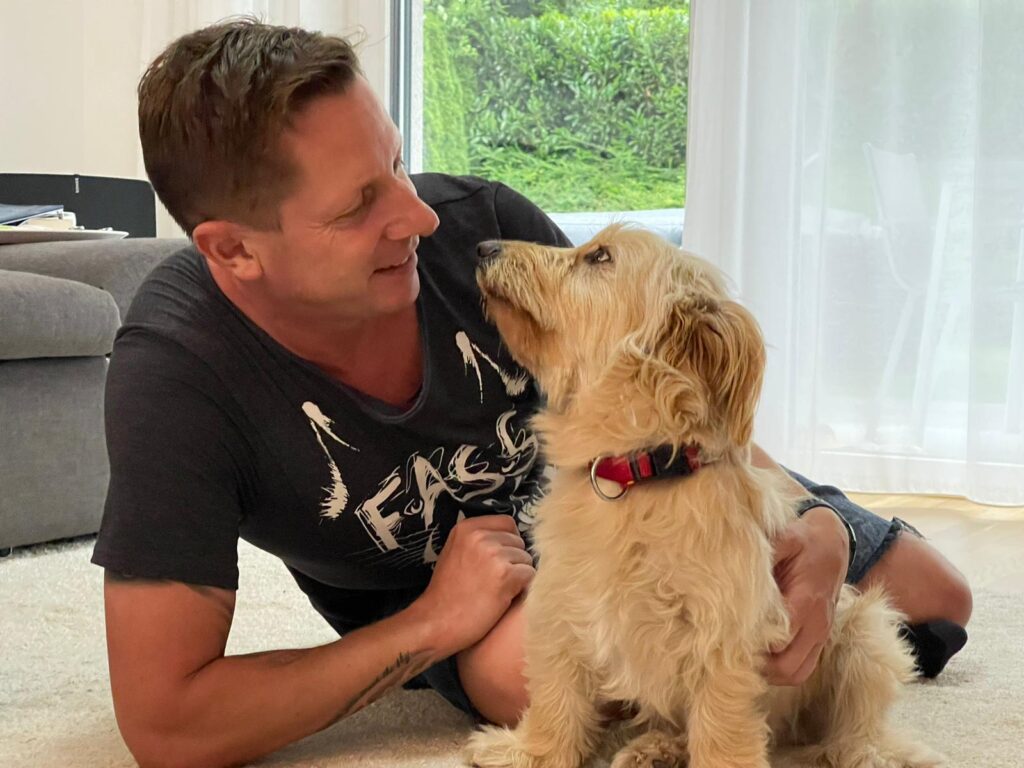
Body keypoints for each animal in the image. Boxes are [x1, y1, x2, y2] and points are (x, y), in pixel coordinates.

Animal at [465, 226, 940, 768]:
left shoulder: (724, 634)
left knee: (856, 726)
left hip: (866, 635)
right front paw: (533, 751)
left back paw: (865, 752)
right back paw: (656, 746)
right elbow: (556, 692)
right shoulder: (562, 605)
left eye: (599, 256)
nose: (483, 248)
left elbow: (720, 726)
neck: (636, 475)